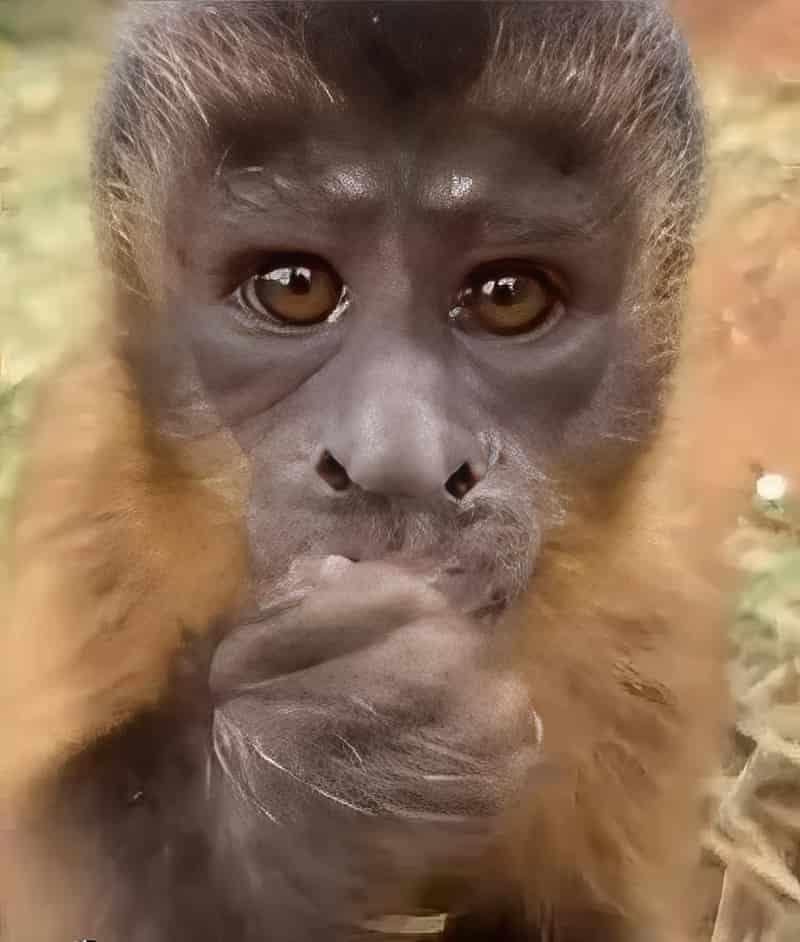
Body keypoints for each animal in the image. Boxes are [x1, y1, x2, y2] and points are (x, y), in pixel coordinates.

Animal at [0, 3, 729, 941]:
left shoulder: (659, 595)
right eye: (294, 286)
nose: (398, 462)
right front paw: (311, 773)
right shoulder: (81, 489)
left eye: (508, 296)